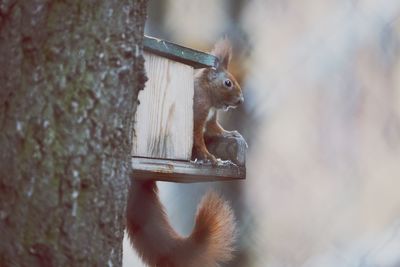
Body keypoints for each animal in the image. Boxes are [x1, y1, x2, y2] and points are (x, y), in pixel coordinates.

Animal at [127, 39, 241, 267]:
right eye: (228, 83)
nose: (241, 100)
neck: (208, 95)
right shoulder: (198, 113)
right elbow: (198, 139)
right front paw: (211, 159)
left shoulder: (211, 120)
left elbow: (216, 131)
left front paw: (233, 135)